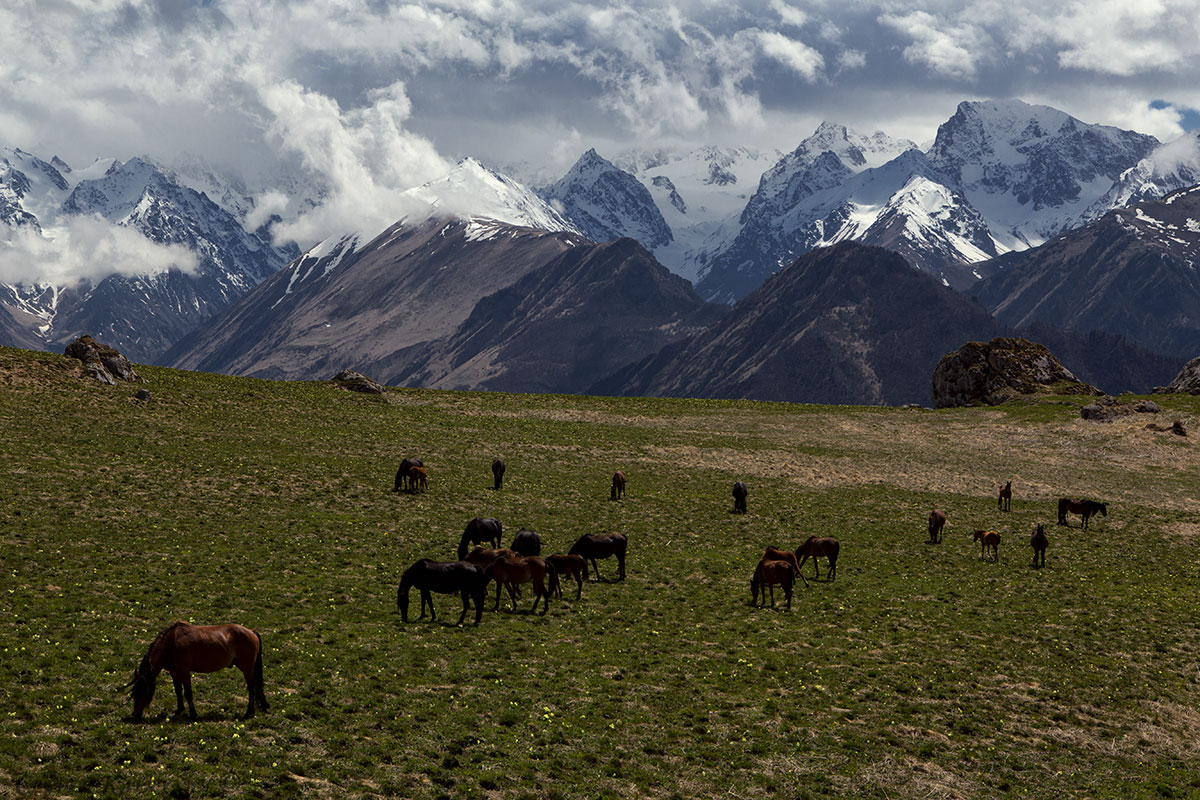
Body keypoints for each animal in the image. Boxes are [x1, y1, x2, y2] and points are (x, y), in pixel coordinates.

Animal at [127, 618, 266, 724]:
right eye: (134, 691)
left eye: (143, 690)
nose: (135, 714)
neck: (171, 643)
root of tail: (252, 632)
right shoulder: (174, 672)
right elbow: (178, 691)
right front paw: (179, 710)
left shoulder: (185, 672)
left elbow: (188, 693)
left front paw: (193, 714)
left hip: (247, 668)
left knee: (251, 687)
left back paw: (249, 712)